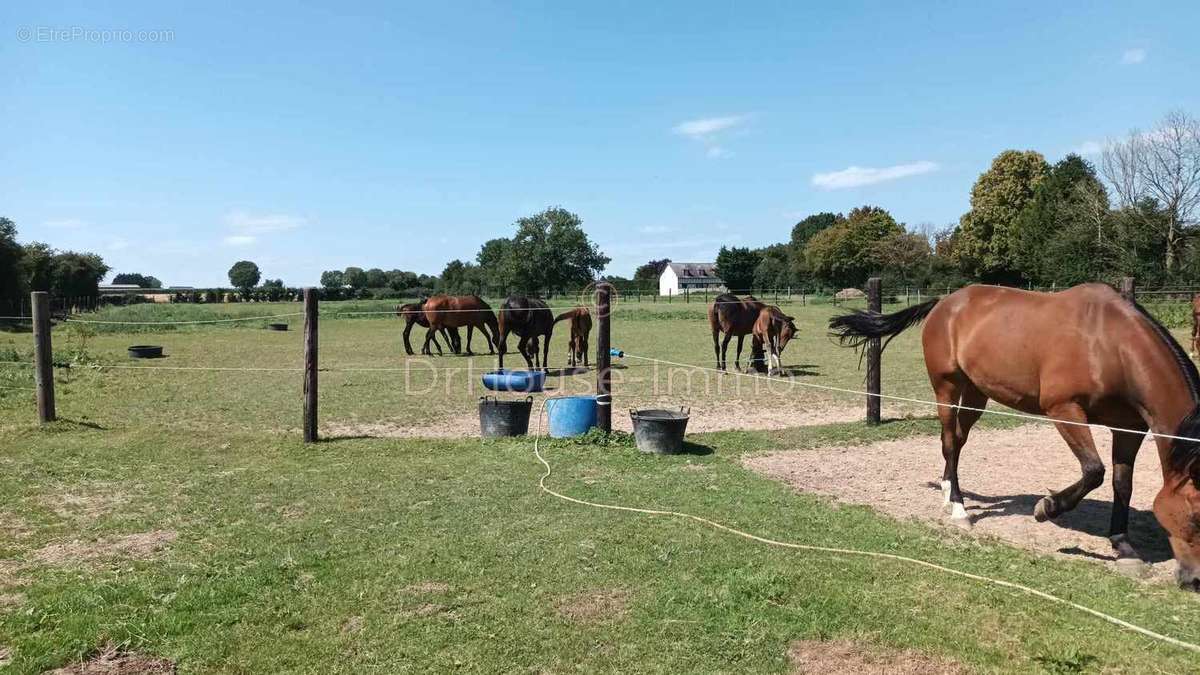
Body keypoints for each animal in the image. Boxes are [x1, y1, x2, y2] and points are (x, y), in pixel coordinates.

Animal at [830, 281, 1200, 586]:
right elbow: (1093, 471)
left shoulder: (1130, 428)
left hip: (977, 393)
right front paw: (1046, 508)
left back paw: (949, 490)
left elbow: (1122, 484)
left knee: (957, 442)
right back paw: (959, 510)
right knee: (949, 441)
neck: (1110, 345)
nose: (1194, 581)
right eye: (1196, 515)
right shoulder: (1064, 411)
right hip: (946, 387)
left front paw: (1124, 548)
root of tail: (945, 302)